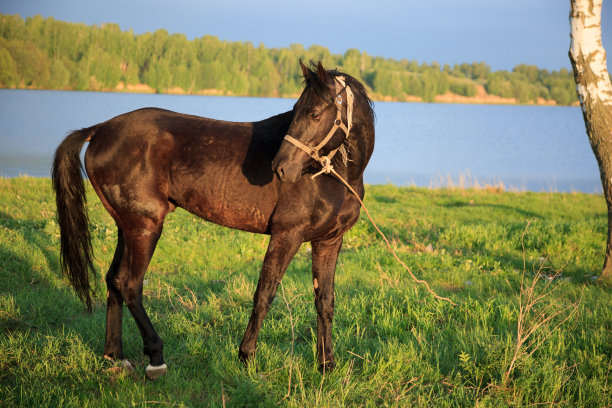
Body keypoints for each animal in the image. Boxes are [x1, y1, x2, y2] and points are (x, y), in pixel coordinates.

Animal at [52, 60, 376, 380]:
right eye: (296, 110)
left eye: (315, 113)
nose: (280, 168)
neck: (334, 175)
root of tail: (99, 130)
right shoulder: (287, 235)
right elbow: (265, 294)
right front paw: (246, 357)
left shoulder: (328, 241)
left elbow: (325, 301)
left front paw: (326, 365)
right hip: (146, 227)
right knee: (131, 286)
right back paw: (156, 358)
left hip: (127, 225)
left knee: (115, 281)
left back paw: (115, 356)